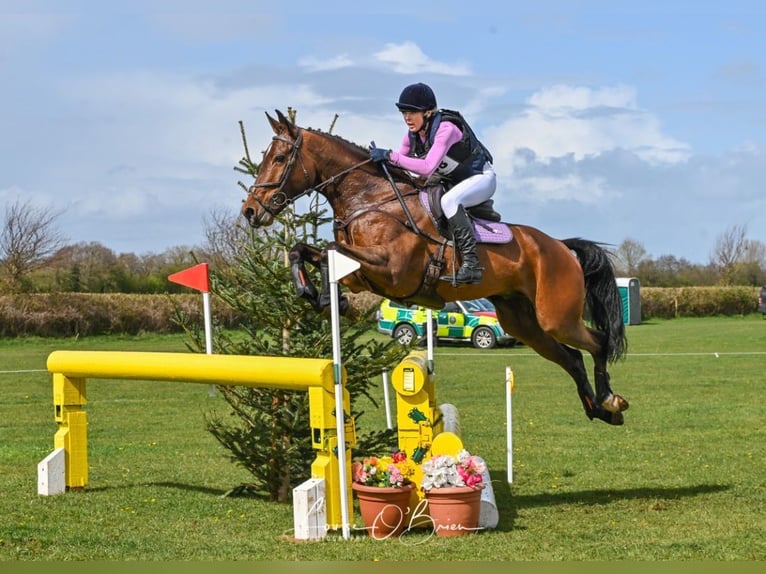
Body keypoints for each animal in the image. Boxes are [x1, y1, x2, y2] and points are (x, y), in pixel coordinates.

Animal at [241, 110, 629, 426]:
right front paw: (320, 298)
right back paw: (599, 410)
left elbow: (331, 249)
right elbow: (305, 251)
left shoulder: (394, 272)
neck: (370, 199)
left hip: (555, 316)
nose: (250, 211)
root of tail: (560, 246)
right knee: (572, 358)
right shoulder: (364, 274)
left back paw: (611, 400)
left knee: (597, 343)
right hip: (523, 323)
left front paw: (329, 300)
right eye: (264, 157)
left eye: (279, 158)